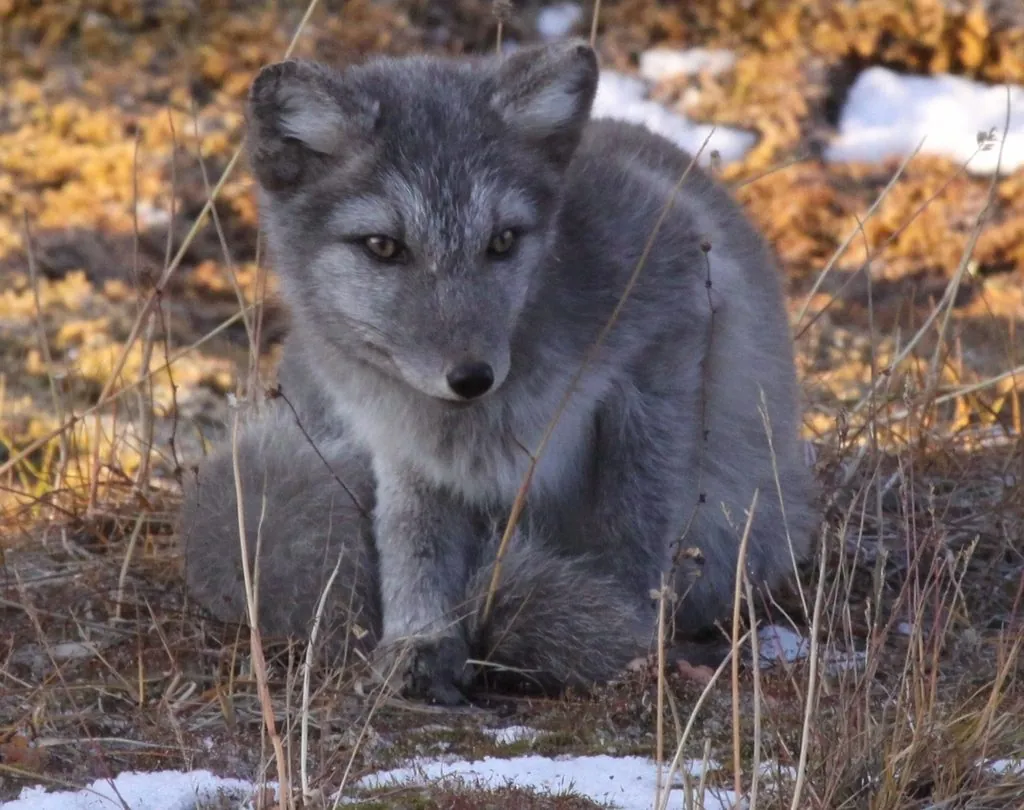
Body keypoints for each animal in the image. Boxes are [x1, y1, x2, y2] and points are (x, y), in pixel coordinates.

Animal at [179, 39, 817, 705]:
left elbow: (633, 519)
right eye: (383, 246)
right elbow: (412, 538)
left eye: (504, 241)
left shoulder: (672, 323)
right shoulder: (401, 440)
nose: (471, 376)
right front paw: (420, 641)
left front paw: (629, 631)